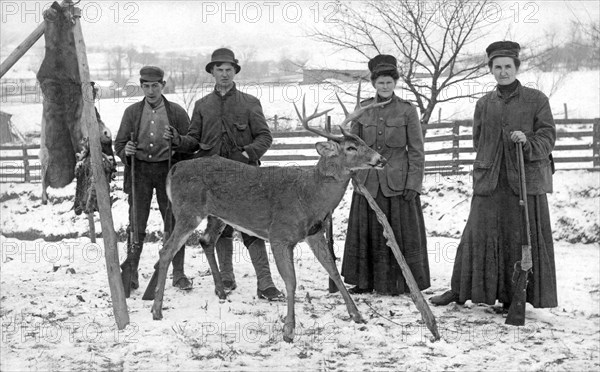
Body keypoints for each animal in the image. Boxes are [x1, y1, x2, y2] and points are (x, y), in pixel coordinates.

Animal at [145, 88, 390, 342]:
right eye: (350, 148)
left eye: (363, 142)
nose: (381, 159)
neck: (309, 196)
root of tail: (174, 169)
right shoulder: (279, 235)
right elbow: (291, 281)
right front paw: (289, 330)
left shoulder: (315, 233)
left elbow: (333, 270)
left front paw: (357, 315)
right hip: (187, 211)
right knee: (166, 251)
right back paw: (156, 310)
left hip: (216, 215)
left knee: (205, 241)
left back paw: (221, 292)